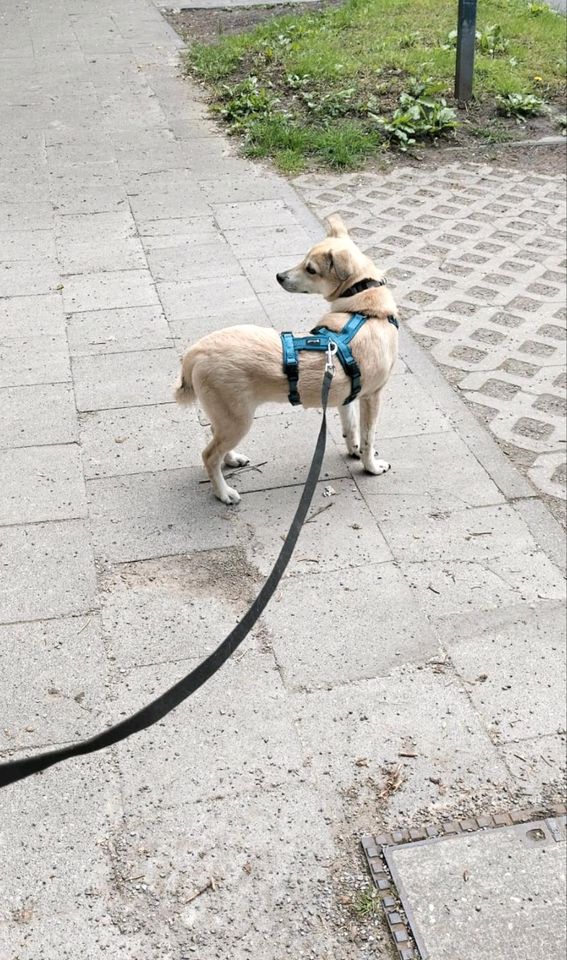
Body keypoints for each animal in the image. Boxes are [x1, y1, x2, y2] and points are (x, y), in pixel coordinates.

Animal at [175, 215, 398, 506]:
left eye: (311, 269)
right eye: (306, 263)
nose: (279, 276)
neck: (364, 310)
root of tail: (196, 351)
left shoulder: (347, 395)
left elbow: (351, 428)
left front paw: (354, 450)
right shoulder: (373, 396)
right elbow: (369, 436)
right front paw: (370, 466)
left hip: (224, 416)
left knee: (215, 437)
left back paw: (233, 459)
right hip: (238, 420)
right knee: (208, 455)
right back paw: (224, 493)